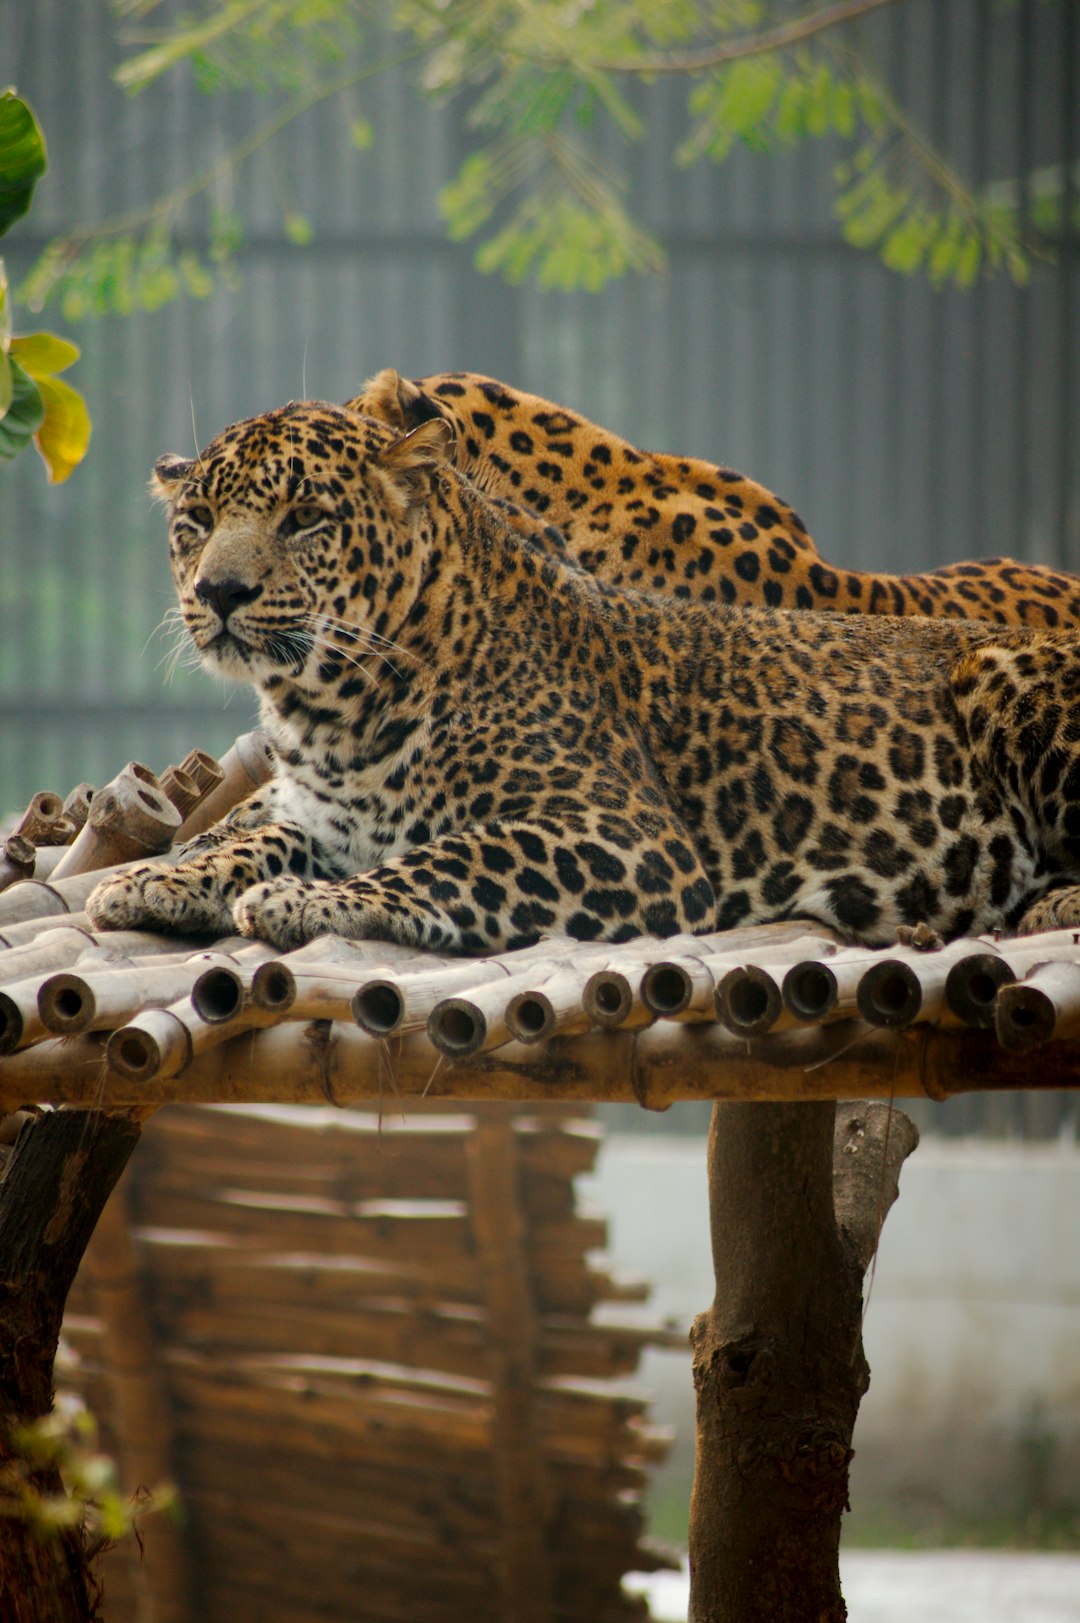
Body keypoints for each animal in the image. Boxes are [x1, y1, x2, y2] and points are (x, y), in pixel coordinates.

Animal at [86, 397, 1080, 947]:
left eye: (303, 519)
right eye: (196, 521)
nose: (219, 591)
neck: (328, 708)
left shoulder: (628, 838)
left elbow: (445, 857)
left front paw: (297, 901)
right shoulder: (322, 815)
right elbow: (252, 838)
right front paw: (155, 880)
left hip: (1010, 682)